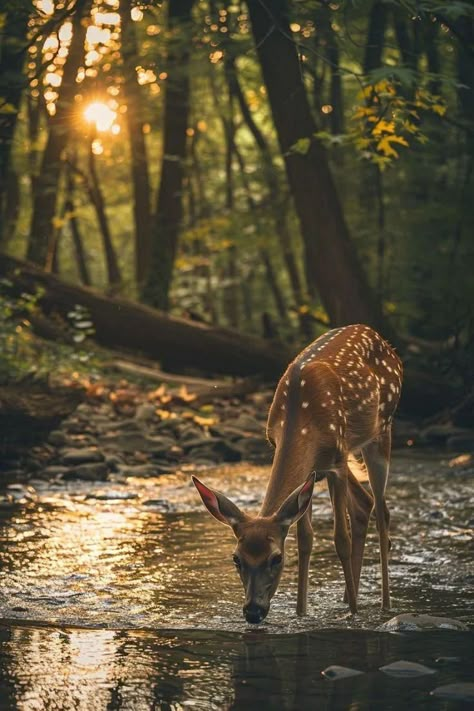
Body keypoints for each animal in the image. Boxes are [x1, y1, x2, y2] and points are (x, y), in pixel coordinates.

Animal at [192, 326, 400, 624]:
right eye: (236, 558)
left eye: (276, 558)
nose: (253, 611)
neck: (303, 419)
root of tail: (380, 338)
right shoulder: (311, 471)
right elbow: (305, 539)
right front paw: (301, 614)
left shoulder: (337, 460)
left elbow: (341, 539)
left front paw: (353, 615)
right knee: (364, 504)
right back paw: (348, 598)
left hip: (381, 431)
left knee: (383, 512)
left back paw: (384, 605)